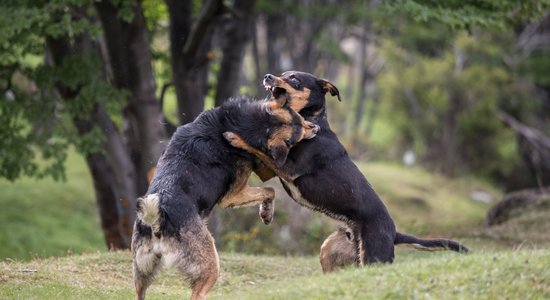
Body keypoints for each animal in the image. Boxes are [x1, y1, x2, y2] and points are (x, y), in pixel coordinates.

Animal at [133, 94, 320, 300]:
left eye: (300, 119)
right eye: (299, 131)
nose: (316, 128)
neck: (249, 124)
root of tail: (157, 218)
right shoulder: (232, 196)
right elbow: (270, 191)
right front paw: (266, 214)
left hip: (142, 273)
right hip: (210, 266)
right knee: (198, 293)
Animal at [224, 71, 470, 266]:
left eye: (293, 78)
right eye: (282, 73)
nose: (267, 76)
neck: (312, 123)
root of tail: (393, 233)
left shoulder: (288, 166)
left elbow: (259, 149)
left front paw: (235, 136)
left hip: (373, 257)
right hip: (330, 250)